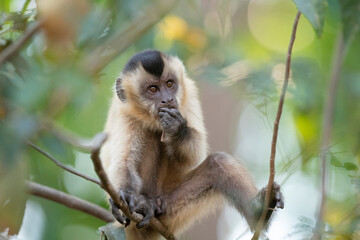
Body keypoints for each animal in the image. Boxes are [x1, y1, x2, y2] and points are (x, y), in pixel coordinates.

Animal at [101, 49, 284, 239]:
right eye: (153, 89)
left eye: (169, 84)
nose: (167, 99)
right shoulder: (124, 112)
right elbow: (124, 162)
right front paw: (128, 195)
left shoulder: (189, 92)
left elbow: (193, 156)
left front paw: (176, 129)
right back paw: (144, 205)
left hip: (168, 209)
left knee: (219, 163)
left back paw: (260, 211)